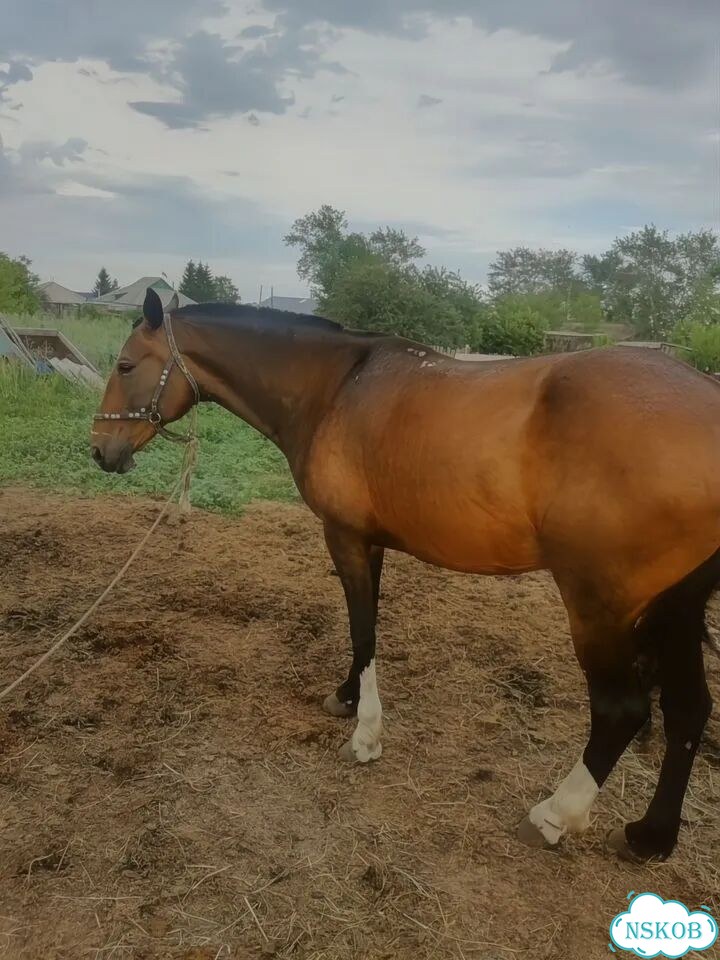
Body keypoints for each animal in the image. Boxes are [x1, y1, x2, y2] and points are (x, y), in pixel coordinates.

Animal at [91, 286, 720, 863]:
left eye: (125, 365)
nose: (100, 450)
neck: (335, 387)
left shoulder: (344, 536)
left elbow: (364, 631)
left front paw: (365, 734)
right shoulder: (370, 544)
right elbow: (363, 628)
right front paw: (346, 697)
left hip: (599, 608)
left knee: (622, 712)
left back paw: (553, 816)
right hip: (675, 607)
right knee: (688, 710)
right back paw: (649, 837)